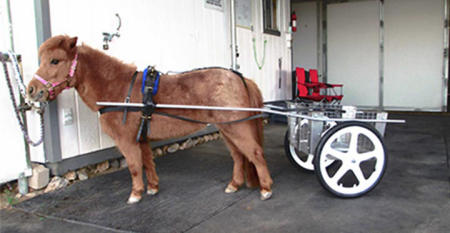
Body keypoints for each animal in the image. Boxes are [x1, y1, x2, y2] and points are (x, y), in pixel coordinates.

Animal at [29, 35, 274, 204]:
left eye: (55, 60)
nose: (32, 90)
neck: (119, 89)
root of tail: (240, 78)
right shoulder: (142, 138)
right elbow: (147, 163)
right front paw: (152, 188)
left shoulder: (127, 141)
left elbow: (135, 166)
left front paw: (135, 194)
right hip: (227, 129)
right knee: (239, 157)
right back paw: (234, 185)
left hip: (237, 128)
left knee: (255, 154)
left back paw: (266, 189)